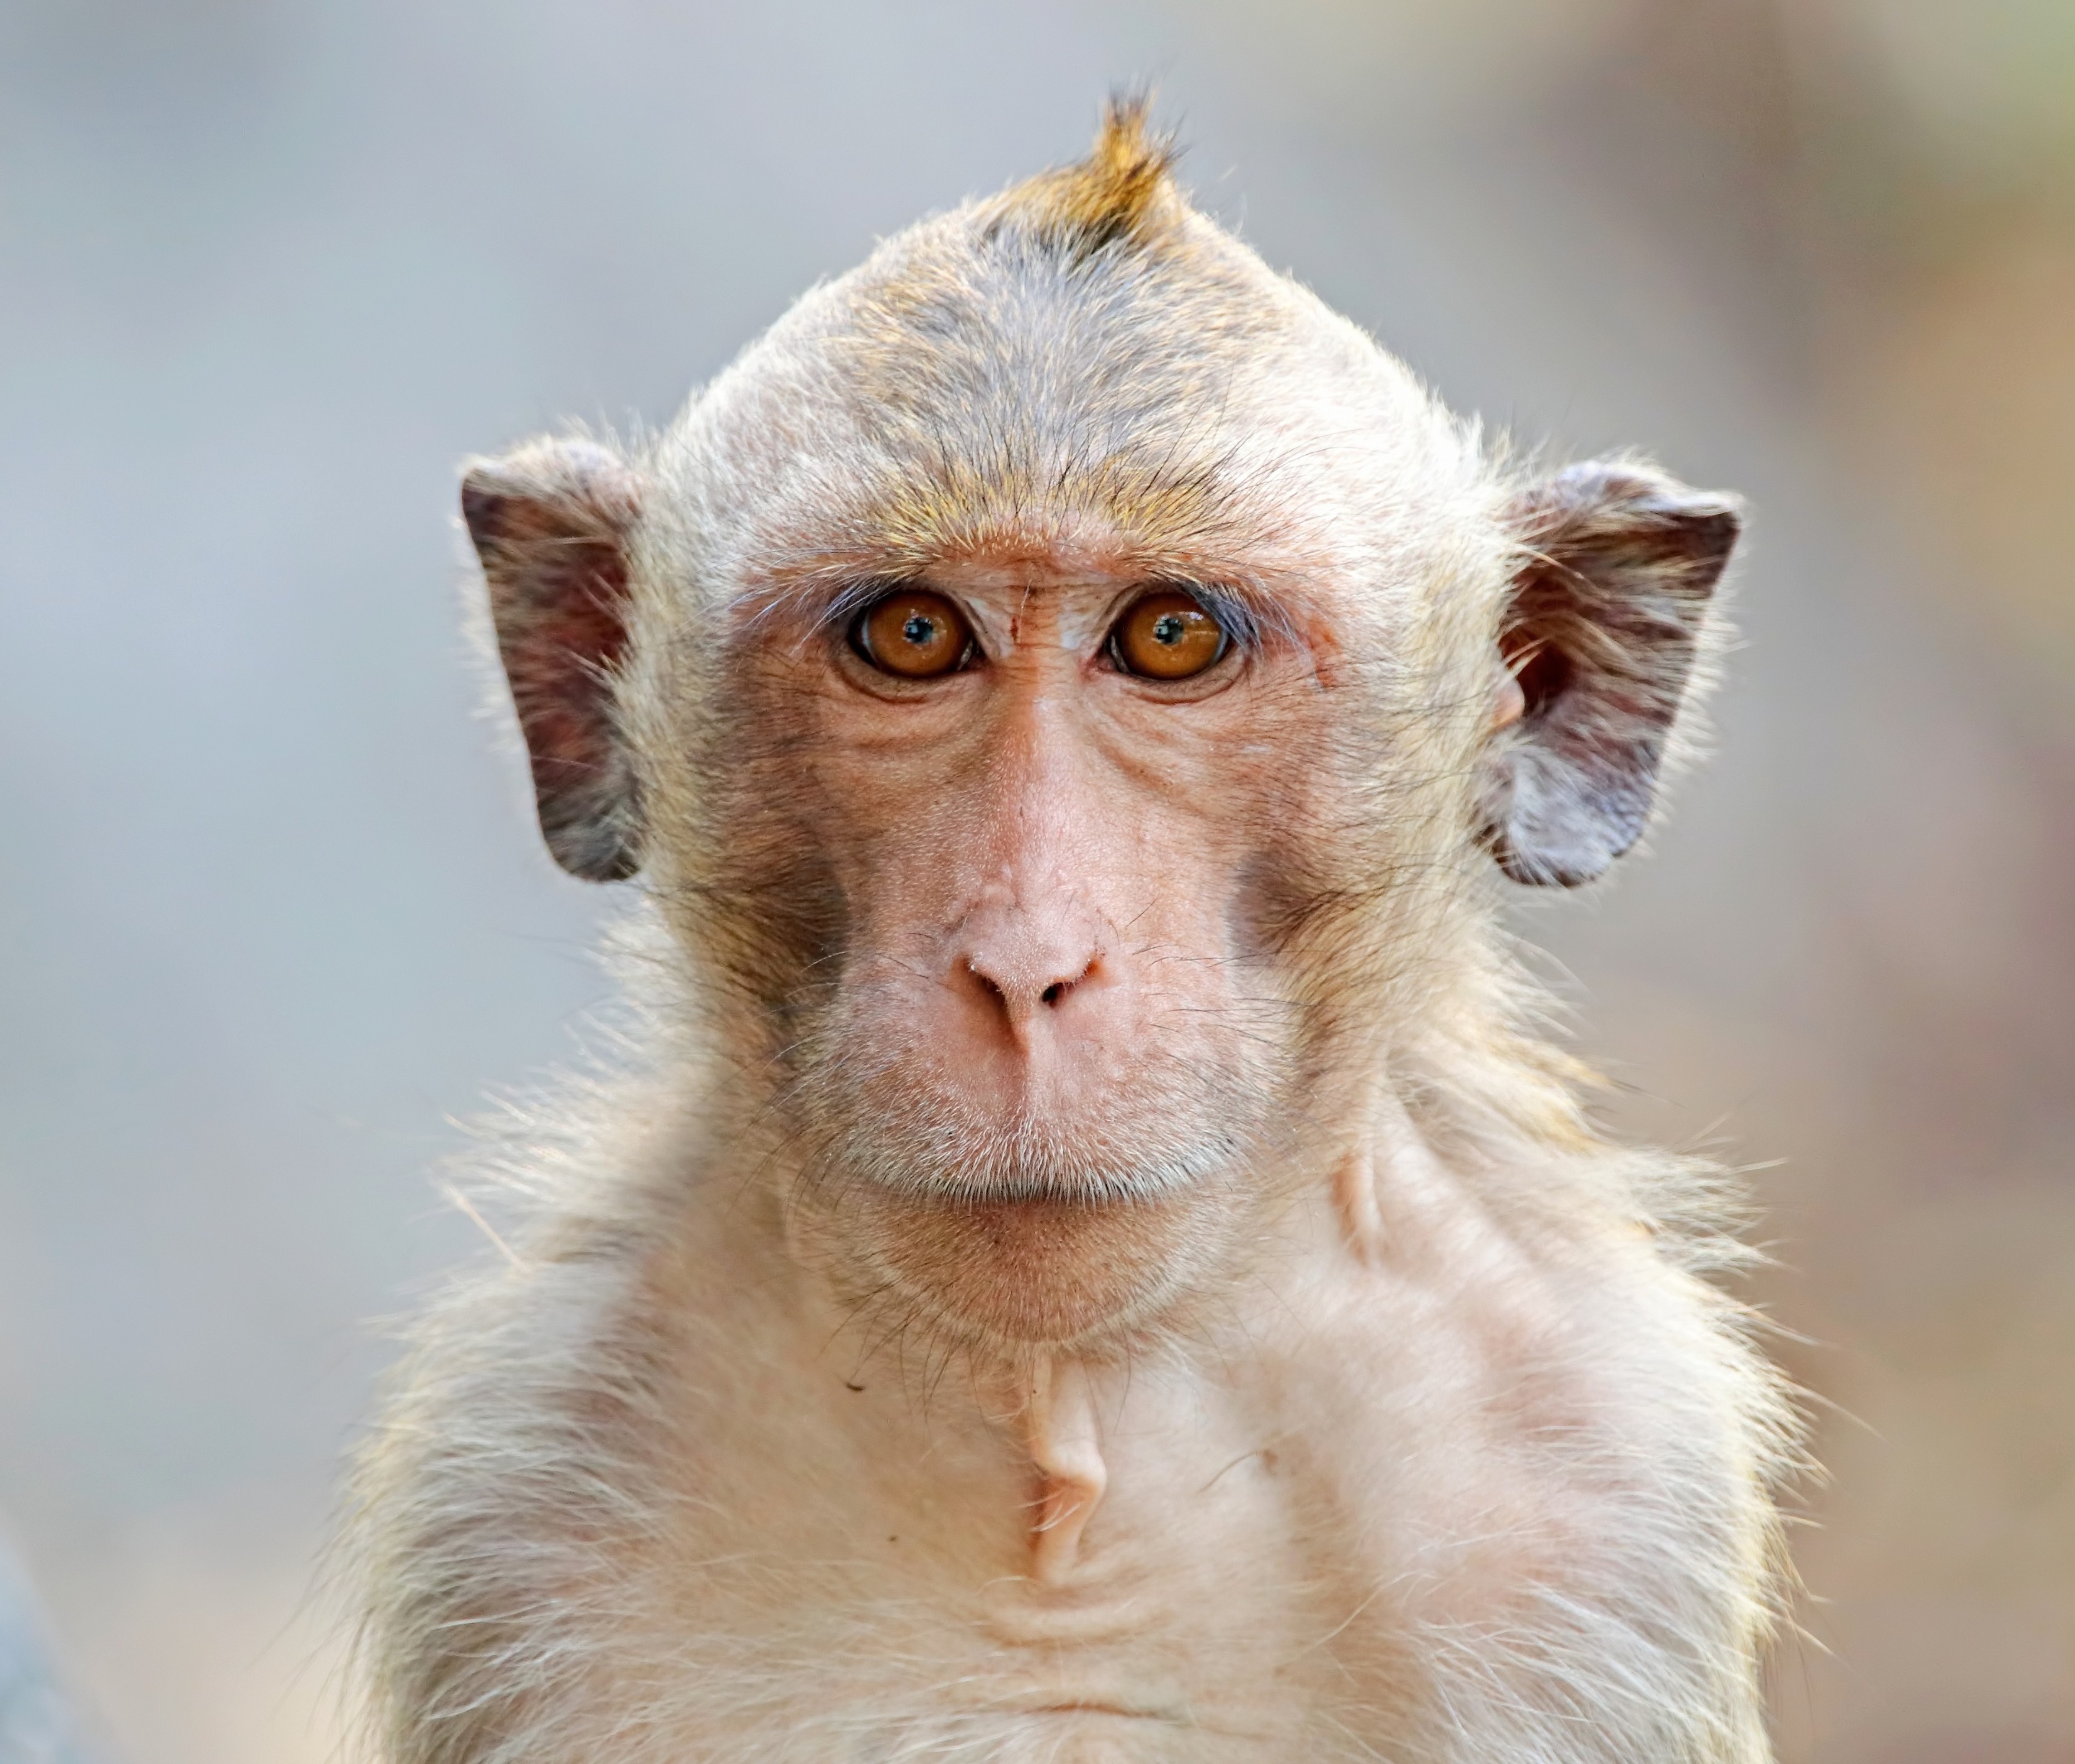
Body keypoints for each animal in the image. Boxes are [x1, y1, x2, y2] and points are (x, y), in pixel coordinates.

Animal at [347, 101, 1799, 1763]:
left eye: (1170, 636)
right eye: (913, 634)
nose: (1027, 962)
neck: (1066, 1429)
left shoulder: (1601, 1497)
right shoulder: (517, 1499)